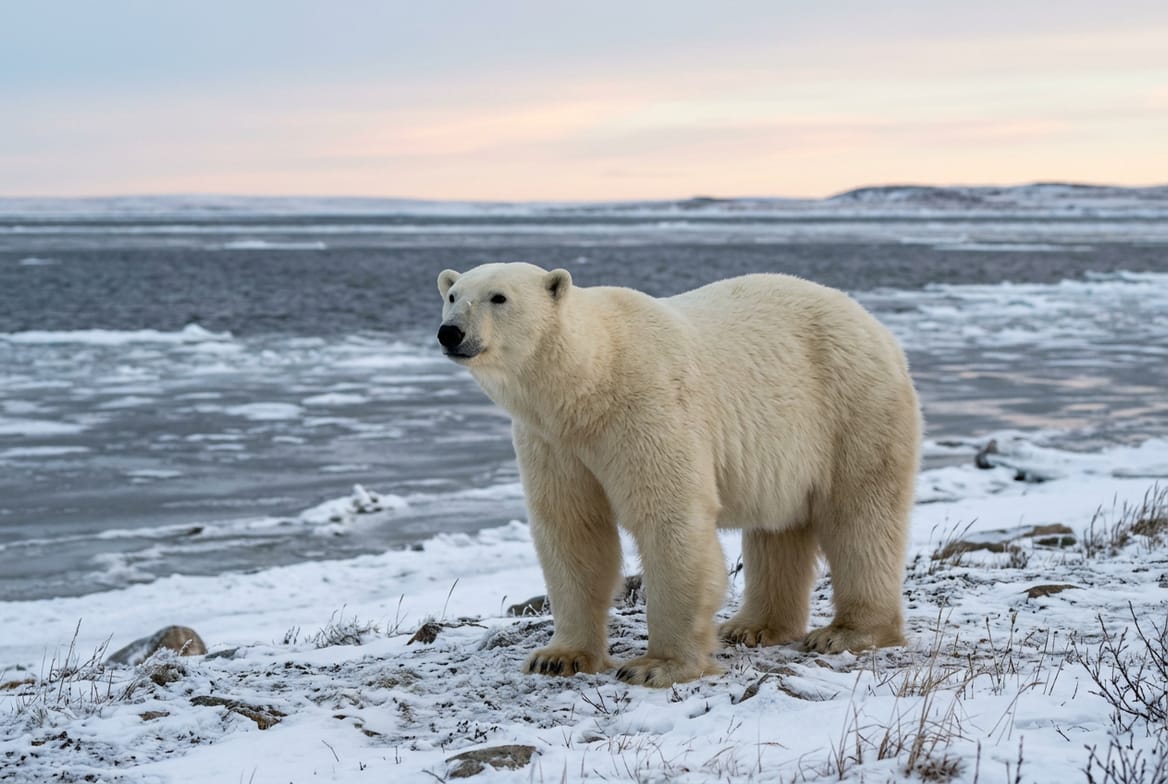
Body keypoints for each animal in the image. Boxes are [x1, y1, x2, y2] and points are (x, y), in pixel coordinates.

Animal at [437, 262, 921, 687]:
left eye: (499, 297)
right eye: (452, 295)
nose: (450, 332)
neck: (588, 385)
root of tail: (877, 328)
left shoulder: (646, 407)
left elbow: (668, 518)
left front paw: (657, 666)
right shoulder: (553, 443)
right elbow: (573, 529)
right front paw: (558, 657)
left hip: (853, 407)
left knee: (862, 516)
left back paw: (848, 631)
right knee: (778, 528)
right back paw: (753, 626)